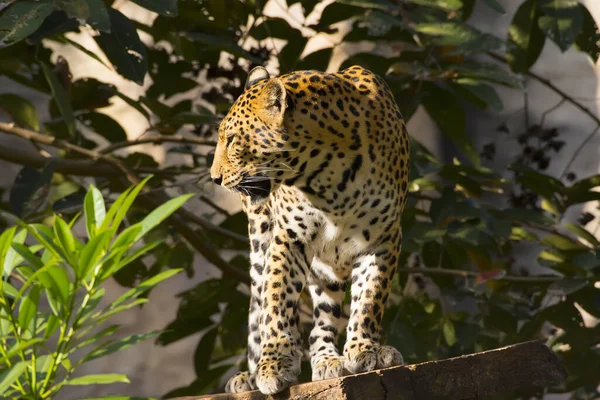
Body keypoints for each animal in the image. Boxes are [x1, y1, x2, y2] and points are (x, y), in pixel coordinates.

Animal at [209, 65, 410, 394]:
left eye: (233, 139)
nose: (215, 178)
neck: (328, 178)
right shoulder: (289, 238)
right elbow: (276, 303)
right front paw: (274, 364)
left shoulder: (384, 237)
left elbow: (369, 299)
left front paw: (364, 349)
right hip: (261, 242)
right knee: (262, 303)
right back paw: (252, 374)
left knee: (321, 324)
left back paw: (330, 359)